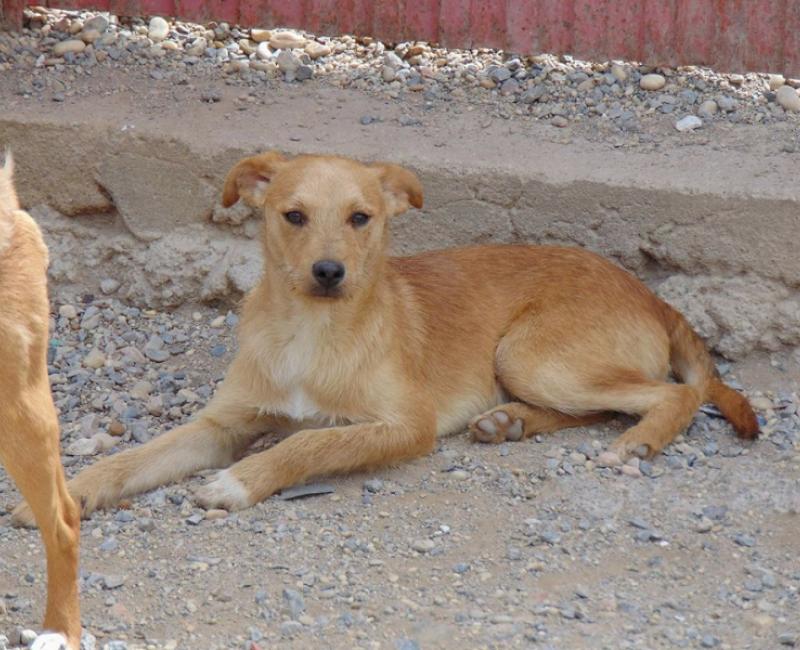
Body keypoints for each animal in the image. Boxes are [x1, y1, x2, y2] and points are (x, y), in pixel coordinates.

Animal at [13, 151, 758, 521]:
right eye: (293, 215)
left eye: (361, 217)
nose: (328, 271)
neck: (310, 333)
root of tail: (652, 294)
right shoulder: (220, 424)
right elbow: (135, 458)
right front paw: (68, 495)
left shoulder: (405, 425)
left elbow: (309, 441)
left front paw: (239, 483)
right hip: (530, 365)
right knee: (604, 405)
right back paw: (507, 423)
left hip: (530, 352)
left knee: (672, 396)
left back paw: (639, 442)